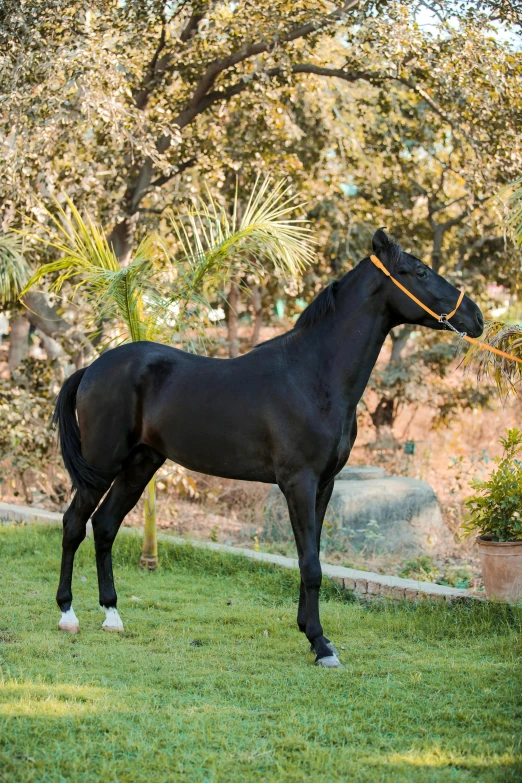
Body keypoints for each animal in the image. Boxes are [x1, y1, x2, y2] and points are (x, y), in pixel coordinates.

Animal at [53, 228, 484, 668]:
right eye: (419, 271)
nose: (477, 317)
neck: (312, 376)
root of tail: (91, 368)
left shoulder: (324, 485)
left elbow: (311, 556)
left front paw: (310, 632)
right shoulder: (299, 483)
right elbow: (311, 565)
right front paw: (320, 645)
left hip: (140, 464)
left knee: (105, 525)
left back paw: (112, 615)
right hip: (101, 465)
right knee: (74, 525)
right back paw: (68, 615)